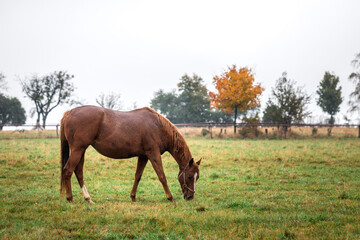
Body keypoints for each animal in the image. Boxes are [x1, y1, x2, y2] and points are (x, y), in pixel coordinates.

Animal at [59, 105, 200, 202]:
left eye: (197, 177)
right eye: (189, 176)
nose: (190, 196)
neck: (158, 126)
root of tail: (69, 113)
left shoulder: (143, 156)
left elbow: (138, 176)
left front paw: (133, 197)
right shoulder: (153, 154)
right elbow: (161, 176)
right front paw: (170, 198)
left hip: (81, 150)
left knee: (78, 172)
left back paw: (88, 199)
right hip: (78, 149)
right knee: (68, 170)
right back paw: (70, 199)